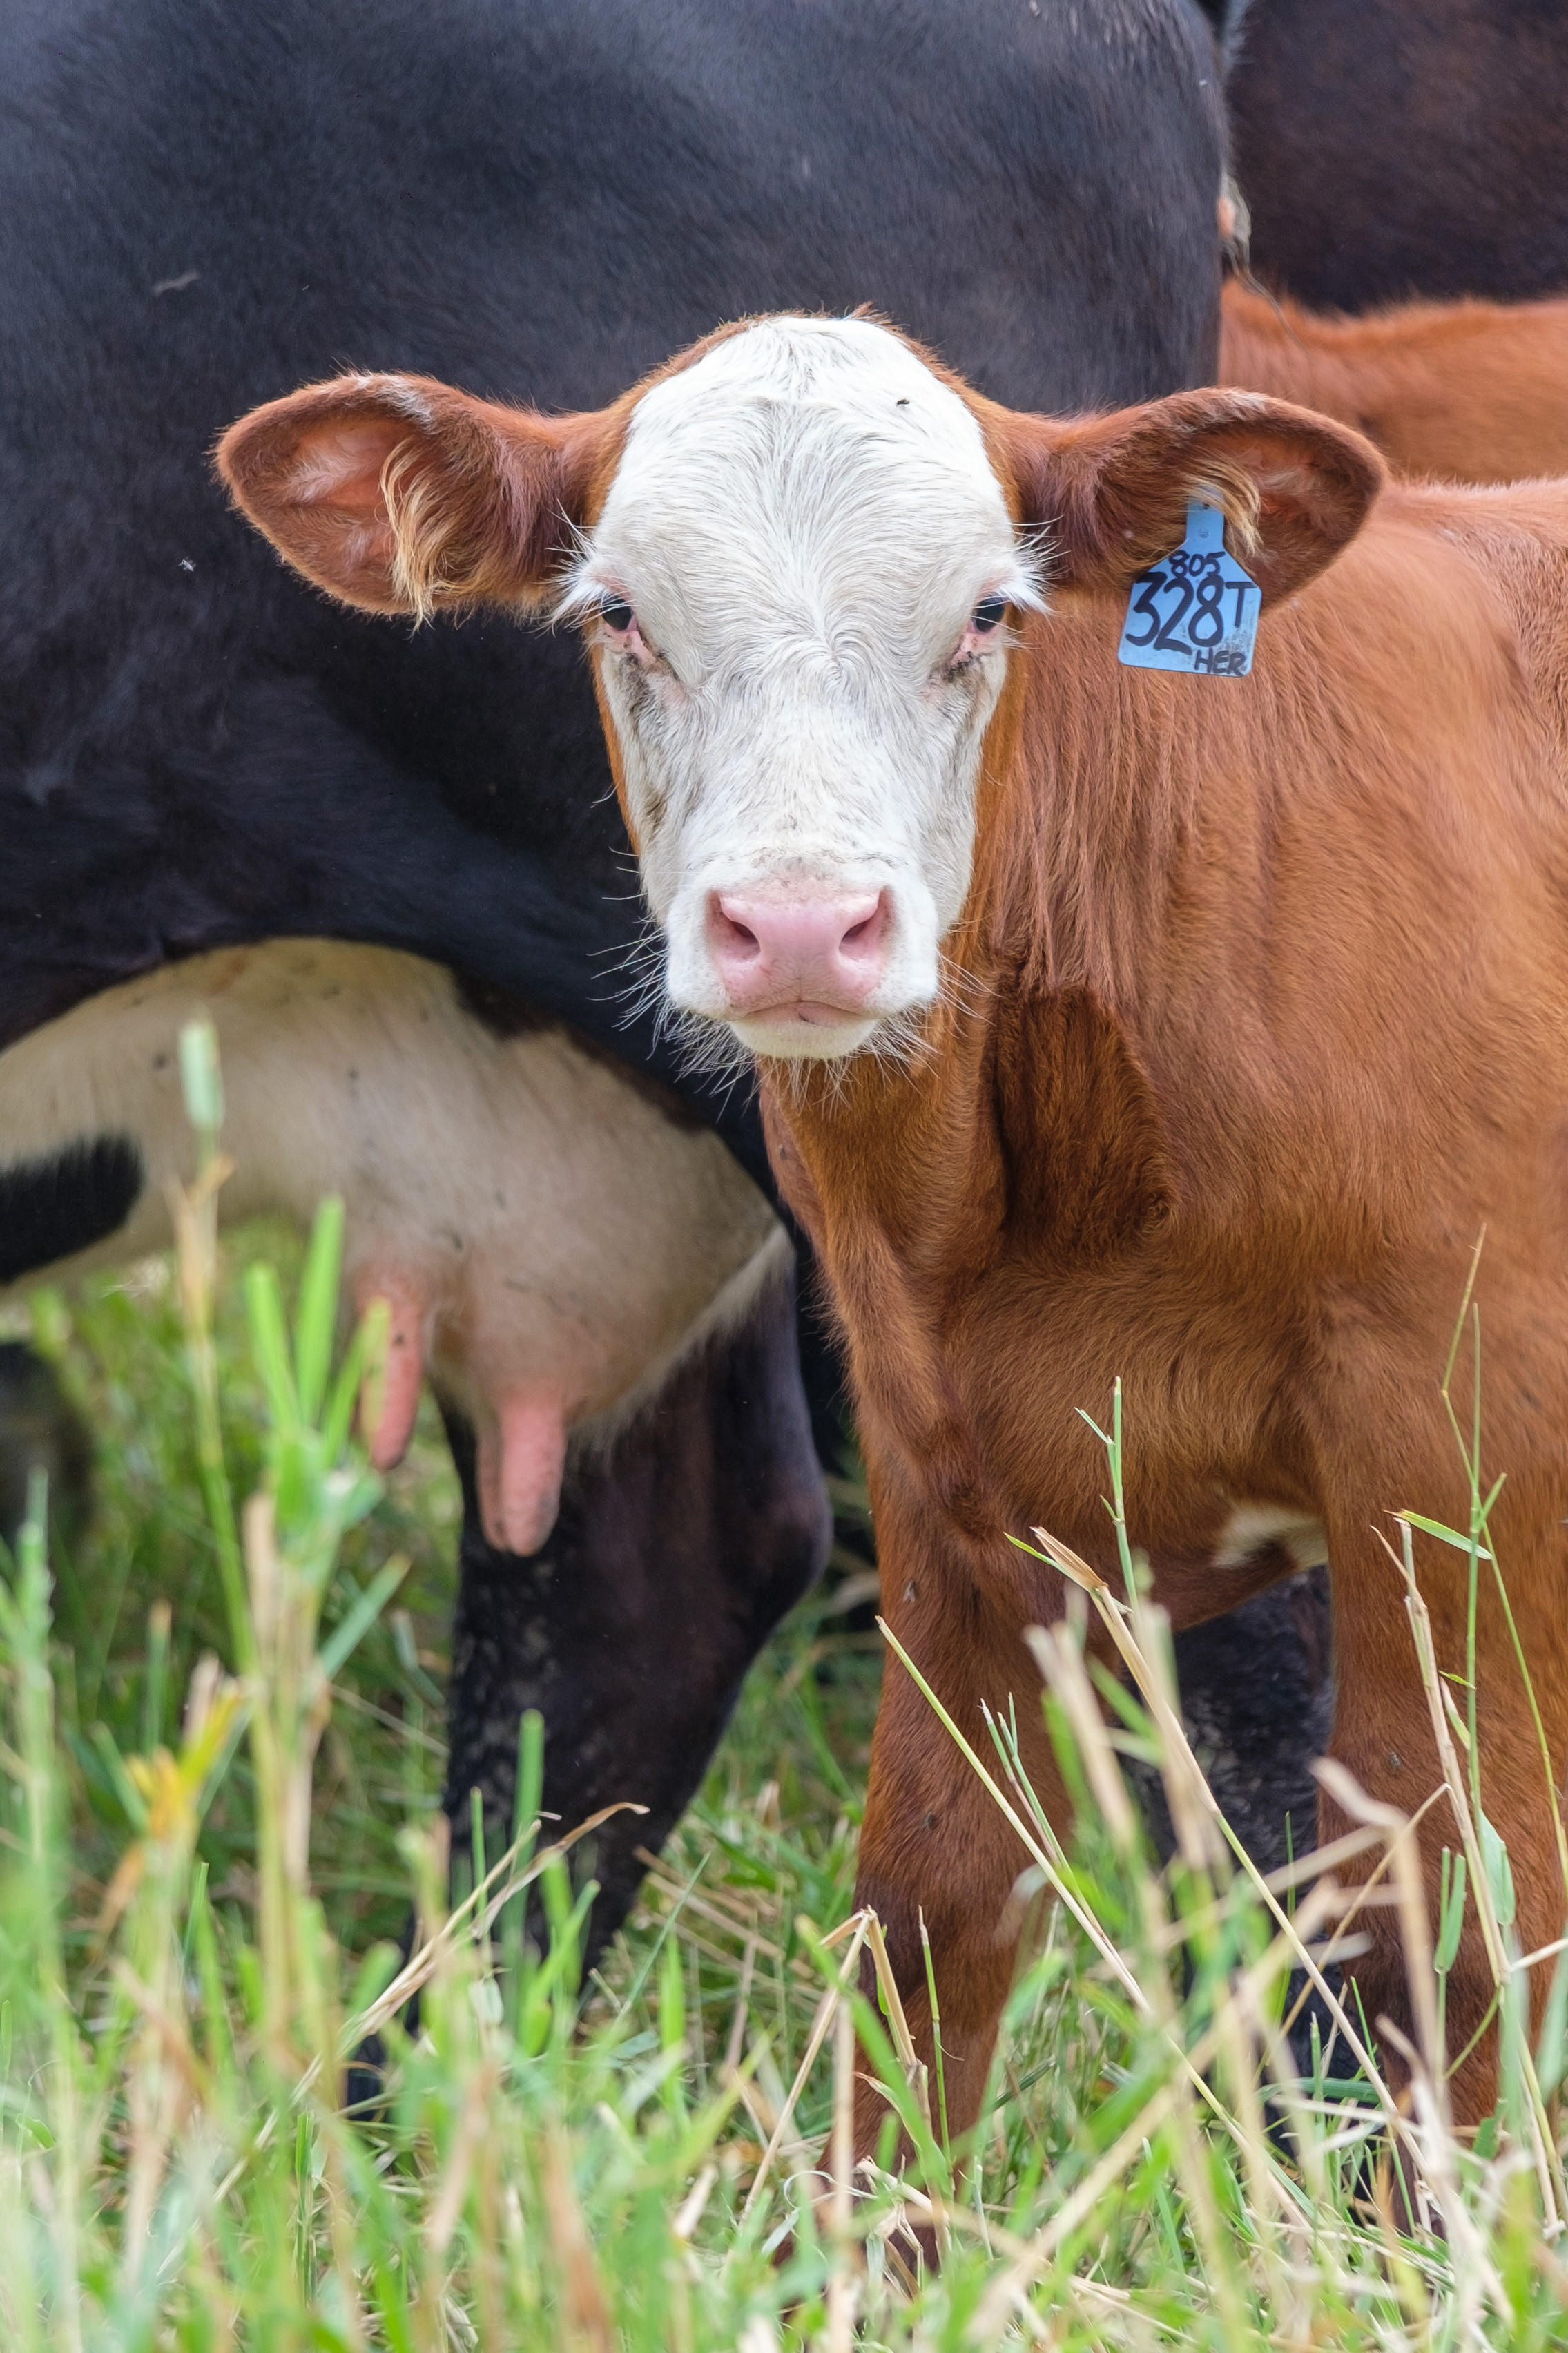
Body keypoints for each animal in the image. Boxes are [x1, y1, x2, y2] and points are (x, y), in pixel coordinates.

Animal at [220, 310, 1568, 2165]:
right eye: (617, 613)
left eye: (987, 616)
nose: (801, 924)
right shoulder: (951, 1482)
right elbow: (921, 1939)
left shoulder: (1461, 1482)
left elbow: (1446, 1942)